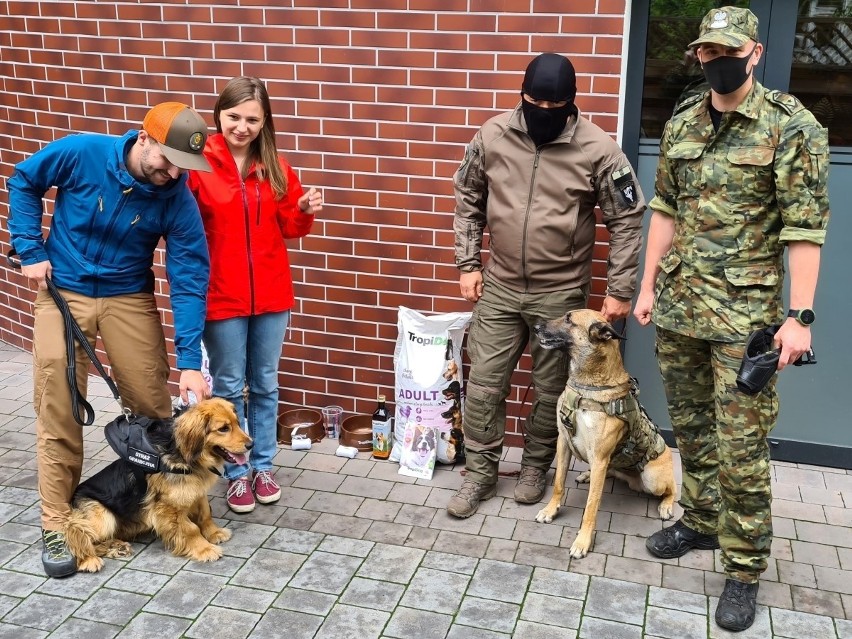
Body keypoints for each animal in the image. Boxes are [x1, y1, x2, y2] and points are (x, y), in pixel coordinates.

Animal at [63, 400, 251, 576]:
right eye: (223, 429)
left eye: (237, 423)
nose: (251, 445)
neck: (183, 454)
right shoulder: (168, 508)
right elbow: (190, 529)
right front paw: (204, 548)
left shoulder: (196, 492)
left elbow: (205, 514)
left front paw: (214, 533)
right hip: (102, 517)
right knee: (74, 532)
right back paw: (87, 559)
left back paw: (116, 547)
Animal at [532, 312, 680, 556]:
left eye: (569, 320)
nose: (535, 327)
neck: (586, 387)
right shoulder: (563, 442)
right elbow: (559, 483)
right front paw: (550, 510)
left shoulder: (600, 457)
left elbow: (591, 506)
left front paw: (582, 541)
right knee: (610, 471)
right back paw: (587, 475)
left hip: (653, 479)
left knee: (672, 488)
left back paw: (667, 505)